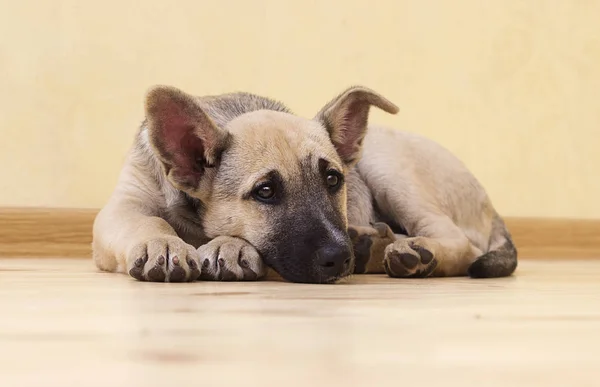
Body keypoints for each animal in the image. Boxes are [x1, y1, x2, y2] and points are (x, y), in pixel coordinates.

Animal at [92, 85, 516, 284]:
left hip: (385, 163)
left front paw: (229, 245)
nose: (341, 258)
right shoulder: (122, 208)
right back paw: (373, 245)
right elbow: (149, 221)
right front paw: (162, 243)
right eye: (265, 192)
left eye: (333, 179)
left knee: (463, 243)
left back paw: (413, 252)